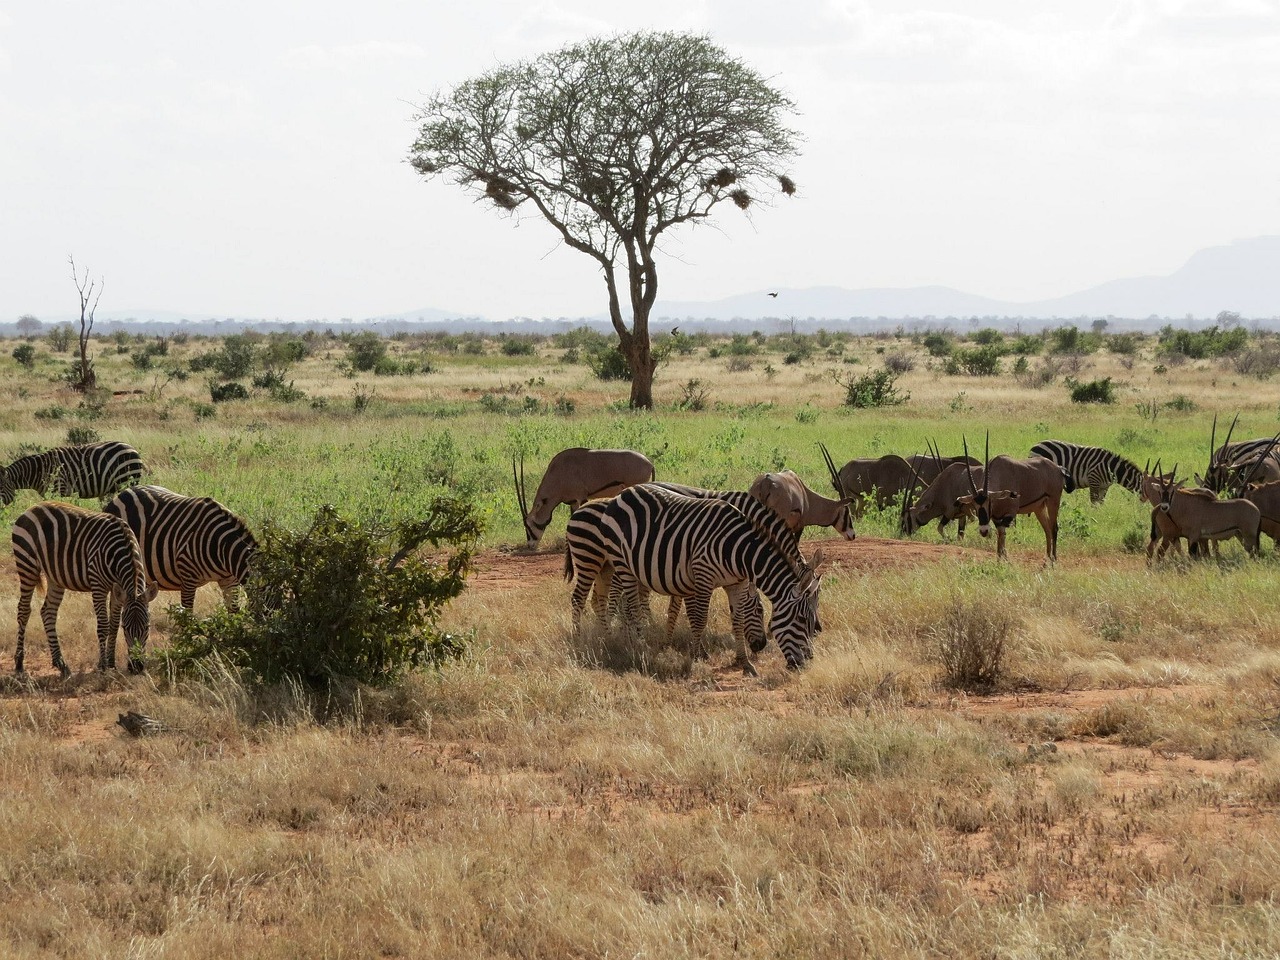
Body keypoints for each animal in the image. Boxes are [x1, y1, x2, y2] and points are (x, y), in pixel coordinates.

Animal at [0, 440, 146, 506]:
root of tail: (132, 448)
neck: (39, 471)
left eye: (0, 489)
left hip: (127, 480)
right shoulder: (46, 494)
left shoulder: (58, 488)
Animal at [11, 504, 153, 675]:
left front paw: (111, 663)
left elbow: (113, 625)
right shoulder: (99, 586)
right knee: (23, 610)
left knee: (48, 612)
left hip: (55, 576)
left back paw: (61, 664)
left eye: (147, 627)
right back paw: (19, 663)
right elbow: (103, 626)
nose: (137, 667)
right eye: (125, 628)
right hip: (27, 565)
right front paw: (103, 666)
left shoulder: (119, 590)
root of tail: (31, 508)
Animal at [103, 483, 258, 611]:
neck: (222, 547)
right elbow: (187, 616)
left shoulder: (229, 580)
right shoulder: (188, 576)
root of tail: (122, 494)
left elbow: (233, 612)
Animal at [512, 450, 655, 547]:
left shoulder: (581, 497)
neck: (558, 473)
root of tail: (649, 463)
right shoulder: (573, 501)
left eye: (528, 524)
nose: (531, 545)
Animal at [565, 488, 824, 670]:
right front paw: (697, 656)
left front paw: (744, 662)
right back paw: (623, 643)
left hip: (610, 567)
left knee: (601, 600)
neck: (739, 550)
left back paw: (612, 638)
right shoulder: (701, 575)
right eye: (802, 619)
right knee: (607, 602)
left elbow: (736, 619)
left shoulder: (735, 583)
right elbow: (698, 617)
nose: (806, 663)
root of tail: (622, 494)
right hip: (608, 561)